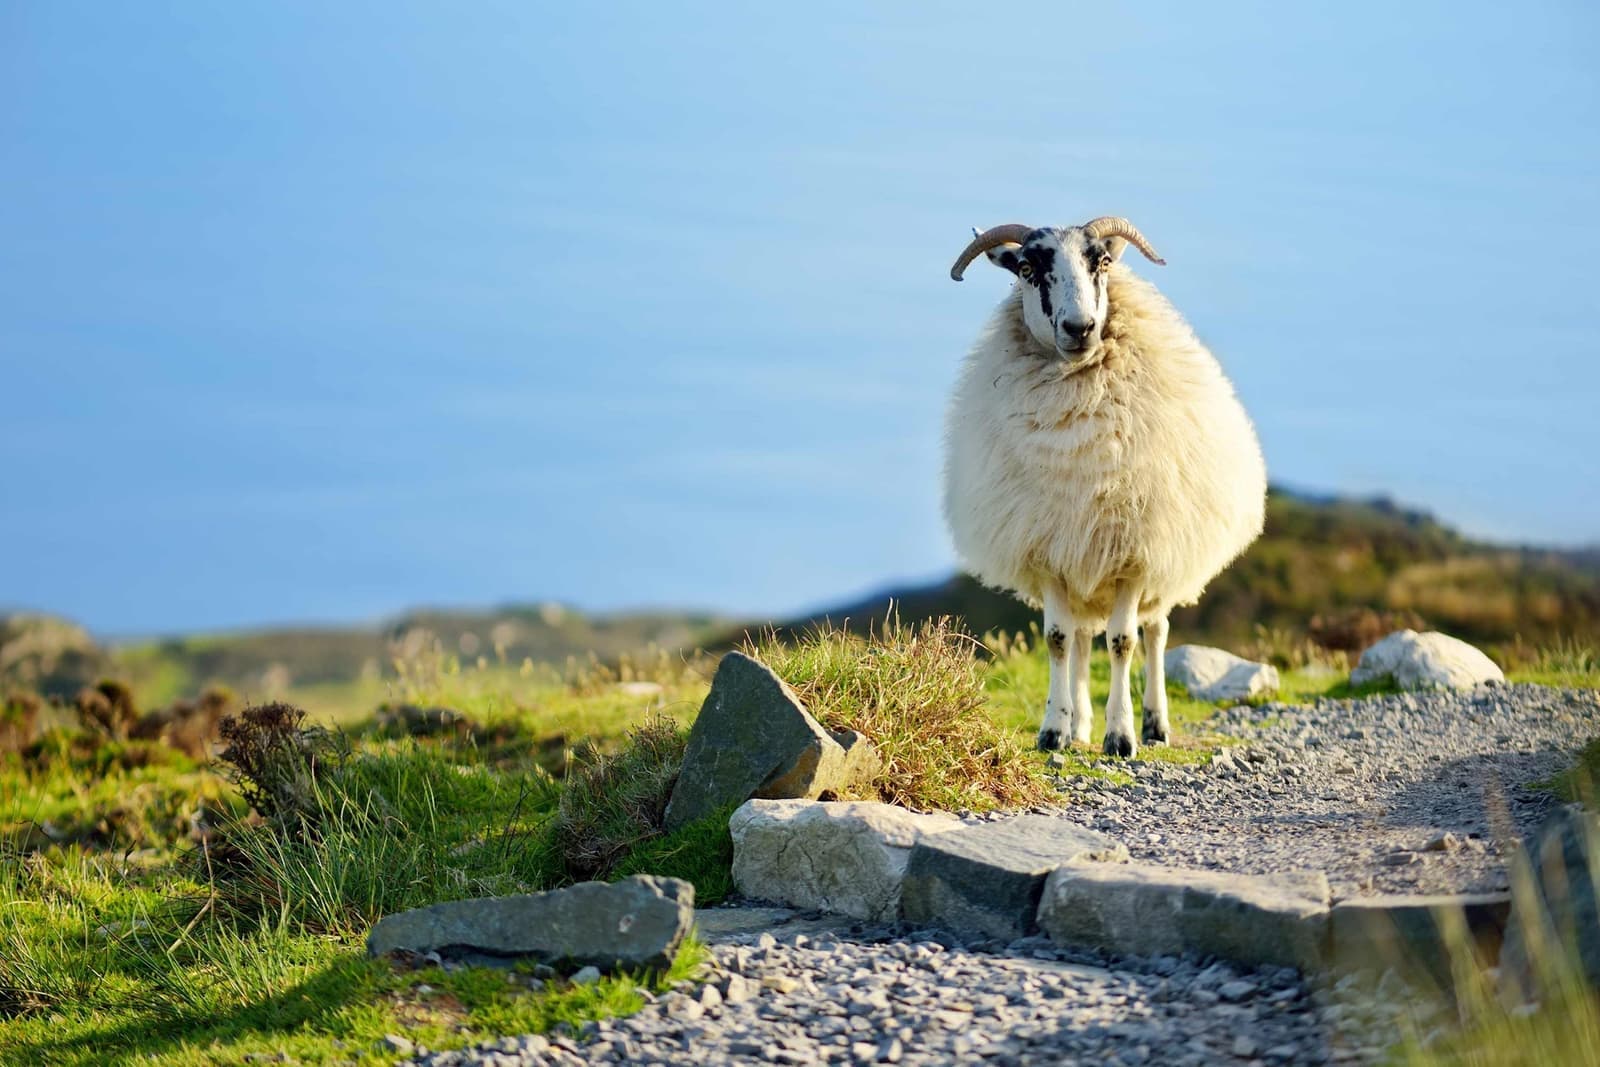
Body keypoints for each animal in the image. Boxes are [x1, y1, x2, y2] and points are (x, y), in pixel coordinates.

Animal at [943, 217, 1266, 759]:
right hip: (1081, 566)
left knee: (1155, 633)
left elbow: (1123, 643)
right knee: (1078, 639)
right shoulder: (1050, 551)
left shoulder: (1133, 557)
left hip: (1163, 562)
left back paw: (1155, 724)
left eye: (1104, 262)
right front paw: (1054, 731)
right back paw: (1078, 727)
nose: (1080, 328)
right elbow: (1056, 639)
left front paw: (1122, 735)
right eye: (1026, 267)